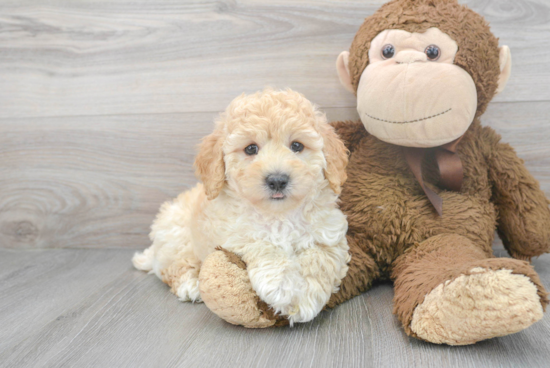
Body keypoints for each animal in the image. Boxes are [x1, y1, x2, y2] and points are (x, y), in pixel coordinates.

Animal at [132, 89, 352, 324]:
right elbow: (264, 244)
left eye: (297, 146)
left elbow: (320, 258)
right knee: (173, 266)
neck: (279, 215)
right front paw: (282, 286)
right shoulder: (235, 233)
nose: (277, 180)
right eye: (251, 148)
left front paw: (304, 299)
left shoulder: (329, 235)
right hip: (177, 235)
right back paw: (190, 285)